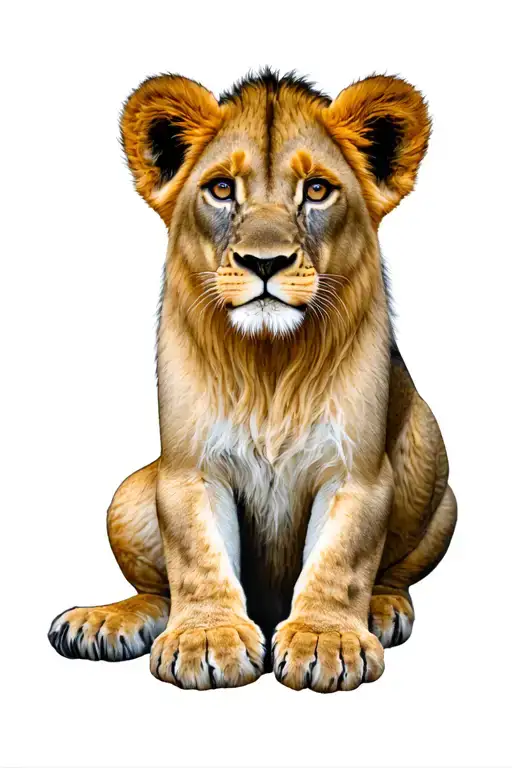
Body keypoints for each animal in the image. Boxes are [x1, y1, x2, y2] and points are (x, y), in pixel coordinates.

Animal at [48, 70, 457, 692]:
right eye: (221, 189)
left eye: (317, 190)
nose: (265, 263)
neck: (270, 366)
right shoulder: (188, 467)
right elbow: (196, 554)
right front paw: (205, 639)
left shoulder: (356, 470)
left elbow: (342, 556)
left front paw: (325, 641)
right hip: (129, 494)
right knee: (157, 588)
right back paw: (106, 620)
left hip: (429, 454)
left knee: (394, 568)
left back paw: (383, 608)